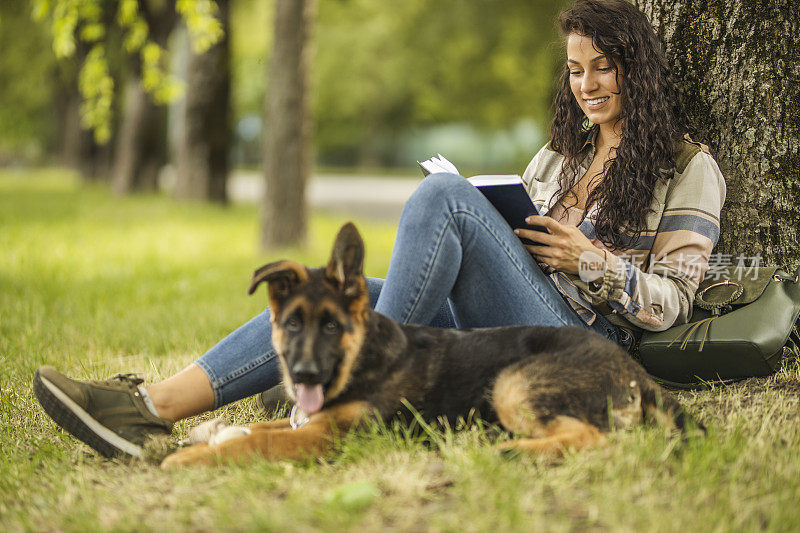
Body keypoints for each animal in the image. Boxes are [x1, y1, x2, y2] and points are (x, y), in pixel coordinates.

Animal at [161, 220, 692, 466]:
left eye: (332, 327)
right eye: (291, 325)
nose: (305, 376)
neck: (362, 359)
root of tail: (635, 372)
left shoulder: (331, 437)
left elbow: (259, 443)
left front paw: (190, 457)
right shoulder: (312, 423)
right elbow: (260, 430)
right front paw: (214, 435)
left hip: (514, 383)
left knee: (594, 438)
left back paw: (507, 451)